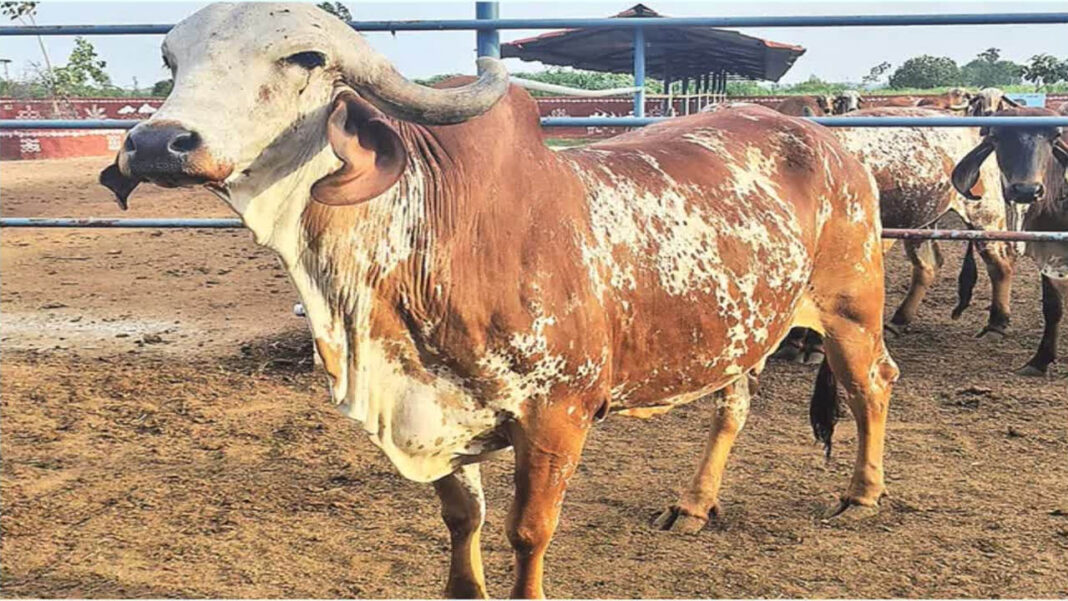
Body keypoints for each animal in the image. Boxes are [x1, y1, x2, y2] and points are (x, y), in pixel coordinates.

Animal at [98, 4, 898, 597]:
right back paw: (695, 504)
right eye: (172, 62)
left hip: (851, 307)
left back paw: (862, 493)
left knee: (873, 385)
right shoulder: (441, 411)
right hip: (739, 327)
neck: (429, 241)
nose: (158, 142)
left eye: (305, 59)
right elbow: (464, 518)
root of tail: (822, 137)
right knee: (733, 405)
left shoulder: (557, 415)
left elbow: (527, 528)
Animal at [775, 106, 1017, 364]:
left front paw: (815, 347)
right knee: (927, 266)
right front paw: (793, 343)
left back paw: (996, 325)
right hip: (921, 222)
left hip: (986, 215)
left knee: (1000, 265)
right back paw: (899, 321)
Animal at [952, 107, 1068, 376]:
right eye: (996, 137)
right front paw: (1040, 361)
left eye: (1055, 135)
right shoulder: (1048, 254)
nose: (1027, 190)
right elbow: (1052, 307)